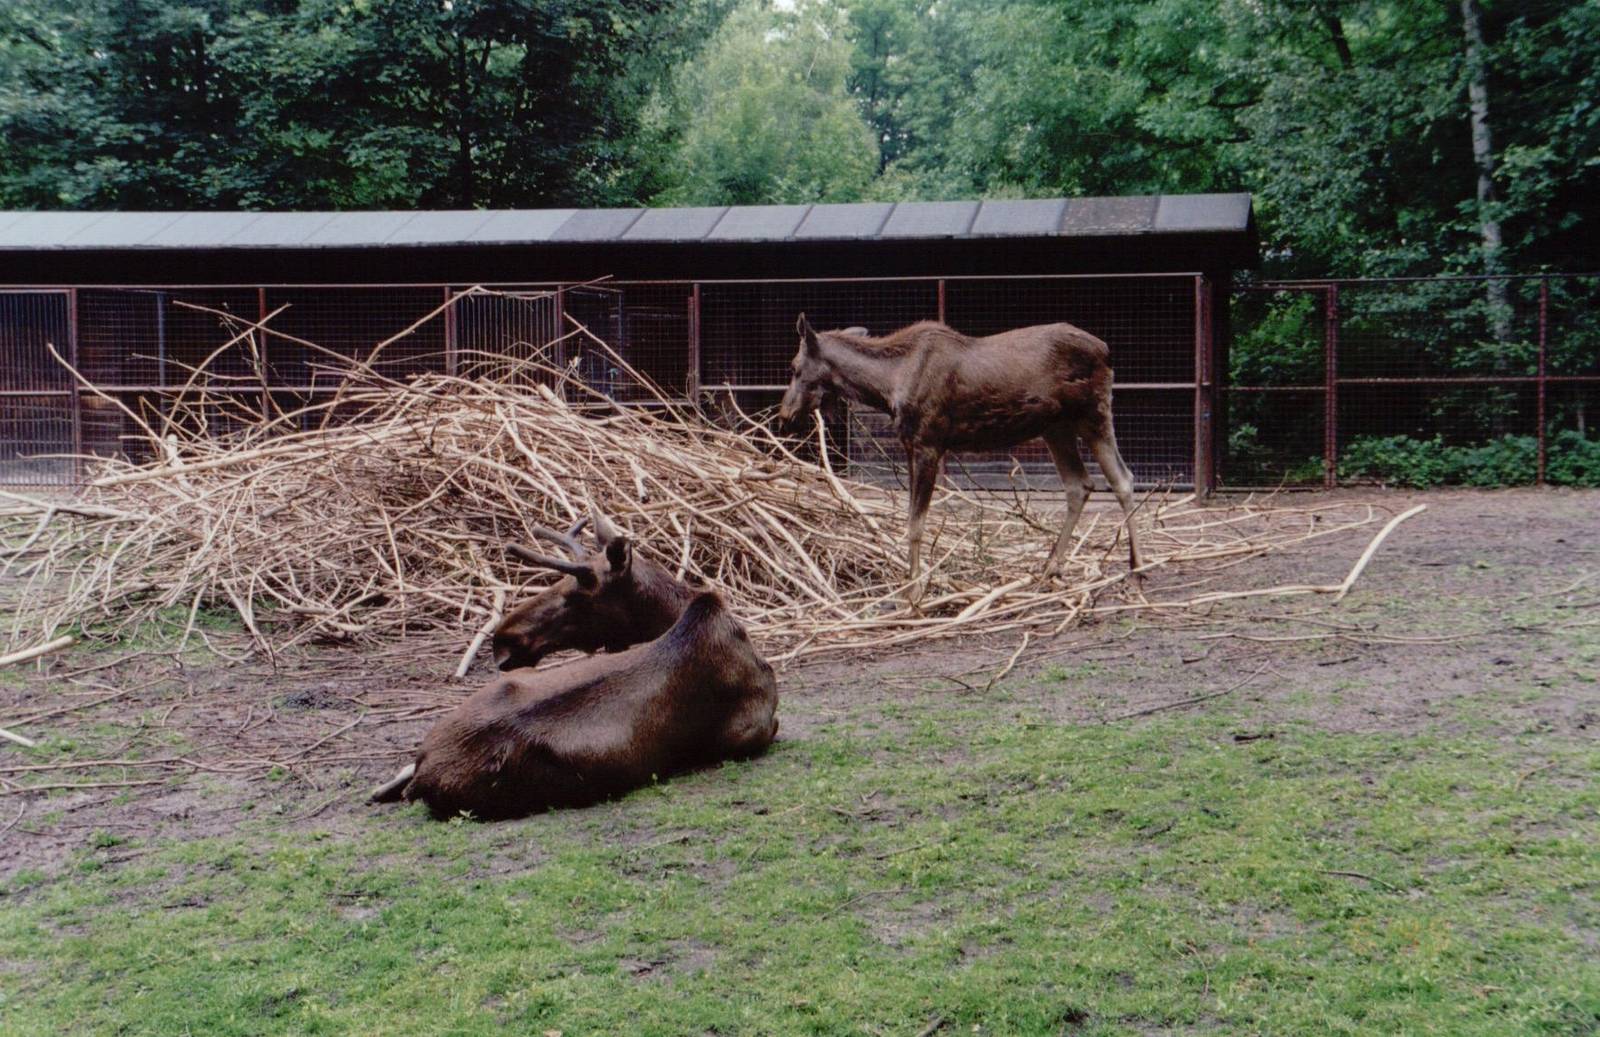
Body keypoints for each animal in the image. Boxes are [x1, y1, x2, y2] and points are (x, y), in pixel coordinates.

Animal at [777, 315, 1144, 599]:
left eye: (794, 368)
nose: (785, 413)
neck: (887, 385)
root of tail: (1107, 351)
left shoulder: (929, 444)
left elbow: (916, 524)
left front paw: (914, 594)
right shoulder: (911, 445)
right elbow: (912, 521)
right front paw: (910, 587)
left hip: (1093, 414)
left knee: (1122, 479)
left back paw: (1136, 569)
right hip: (1056, 427)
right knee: (1080, 484)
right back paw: (1050, 568)